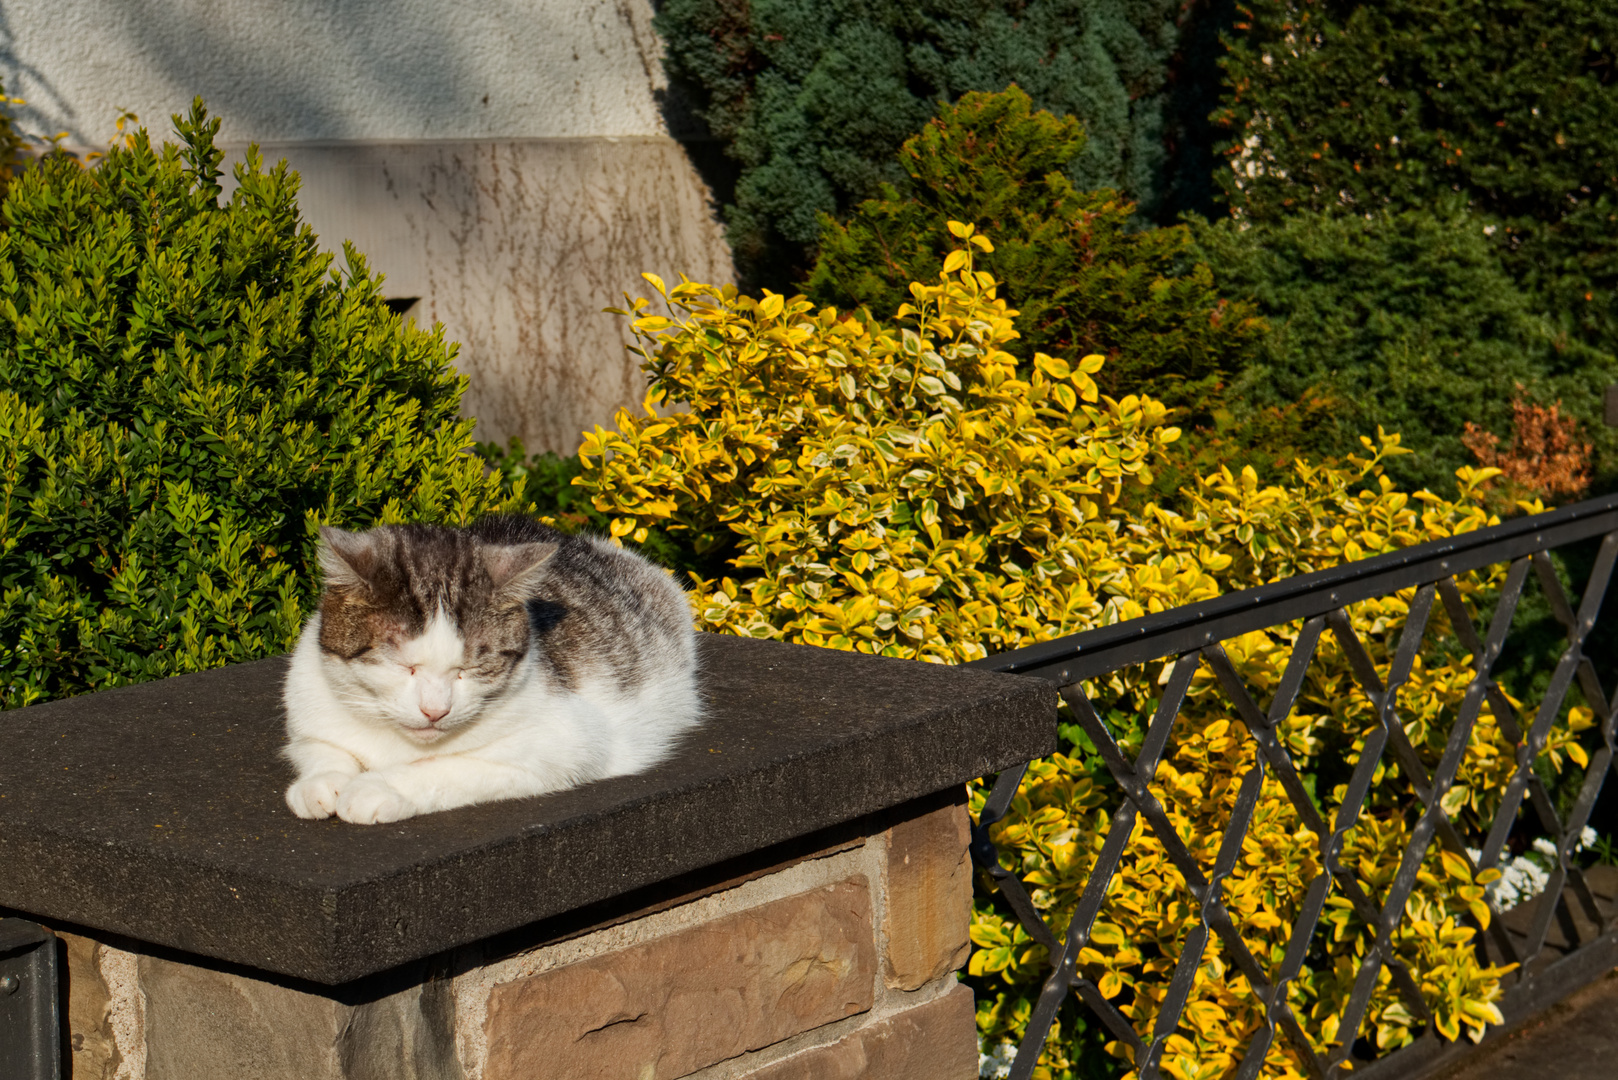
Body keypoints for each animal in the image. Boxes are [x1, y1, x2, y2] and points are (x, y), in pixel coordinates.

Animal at [281, 518, 698, 822]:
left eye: (471, 667)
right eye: (402, 665)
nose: (435, 711)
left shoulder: (569, 741)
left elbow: (447, 766)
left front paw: (379, 787)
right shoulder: (309, 707)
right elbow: (320, 747)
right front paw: (321, 782)